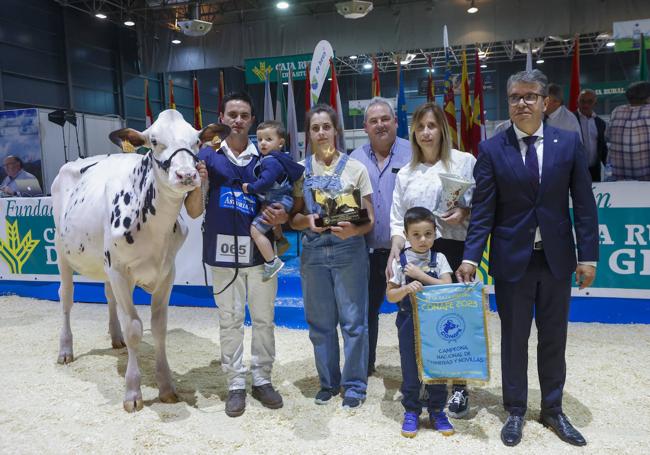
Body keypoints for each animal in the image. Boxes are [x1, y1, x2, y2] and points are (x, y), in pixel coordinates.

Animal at [51, 110, 228, 414]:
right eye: (154, 141)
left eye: (196, 141)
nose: (186, 174)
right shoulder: (121, 272)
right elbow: (135, 328)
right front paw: (133, 392)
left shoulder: (167, 273)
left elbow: (158, 327)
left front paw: (167, 387)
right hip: (63, 252)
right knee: (66, 297)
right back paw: (65, 350)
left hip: (106, 266)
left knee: (108, 296)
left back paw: (115, 338)